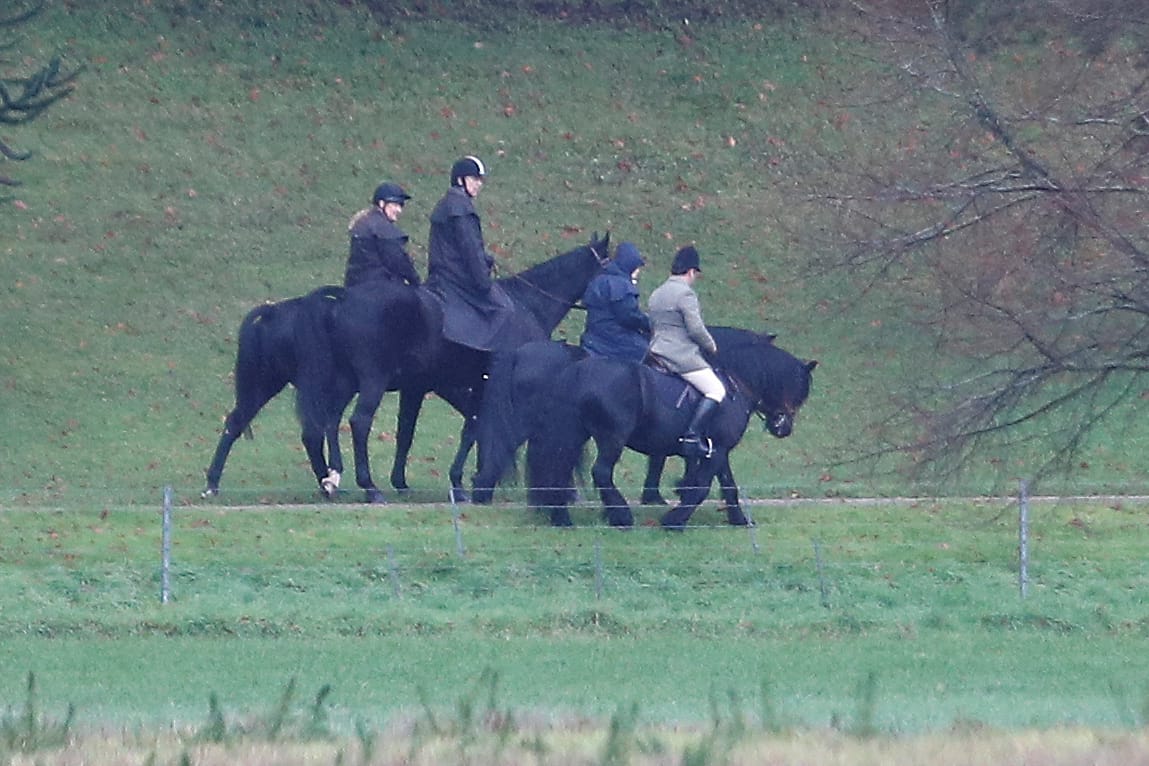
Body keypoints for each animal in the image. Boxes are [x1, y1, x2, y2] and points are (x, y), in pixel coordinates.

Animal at [475, 326, 818, 530]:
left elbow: (727, 485)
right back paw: (619, 515)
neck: (732, 382)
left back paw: (561, 516)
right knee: (599, 472)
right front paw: (675, 519)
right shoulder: (717, 448)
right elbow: (701, 486)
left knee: (556, 469)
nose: (783, 427)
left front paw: (739, 519)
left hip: (570, 433)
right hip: (608, 437)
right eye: (799, 387)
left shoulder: (716, 449)